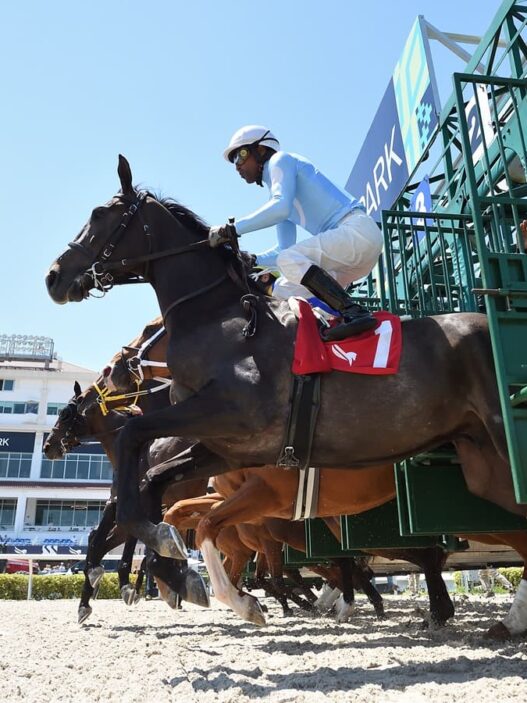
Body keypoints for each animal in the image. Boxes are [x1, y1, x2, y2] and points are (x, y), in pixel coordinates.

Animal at [46, 155, 524, 572]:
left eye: (100, 214)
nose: (54, 276)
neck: (218, 318)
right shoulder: (227, 445)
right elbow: (157, 479)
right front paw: (162, 548)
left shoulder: (233, 414)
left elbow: (132, 436)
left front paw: (150, 539)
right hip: (482, 461)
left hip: (502, 435)